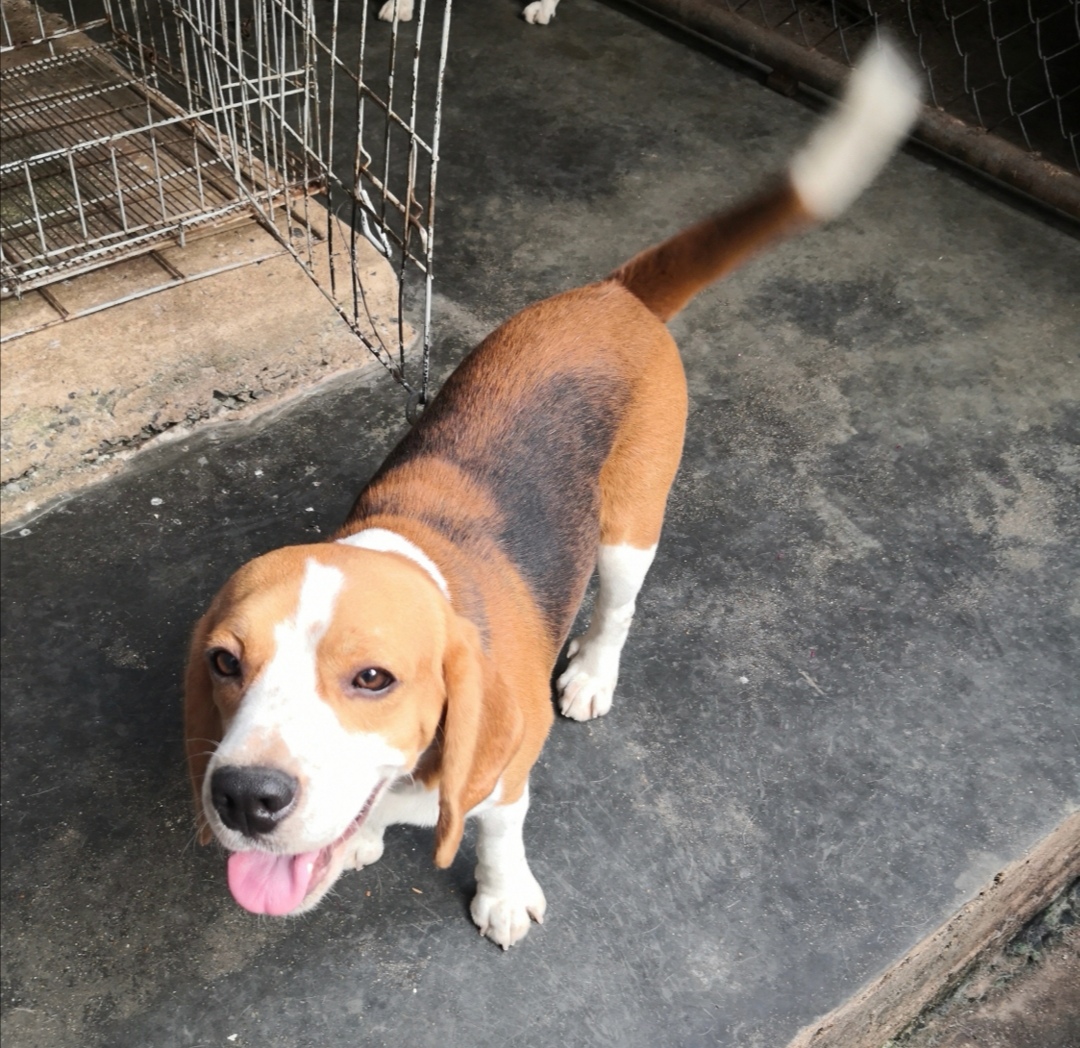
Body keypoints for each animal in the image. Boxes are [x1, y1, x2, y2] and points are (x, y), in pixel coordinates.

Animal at [185, 43, 920, 949]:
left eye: (373, 679)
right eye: (225, 661)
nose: (245, 797)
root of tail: (616, 293)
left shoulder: (507, 767)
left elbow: (502, 831)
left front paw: (501, 894)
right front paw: (360, 842)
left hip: (629, 529)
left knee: (618, 608)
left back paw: (593, 672)